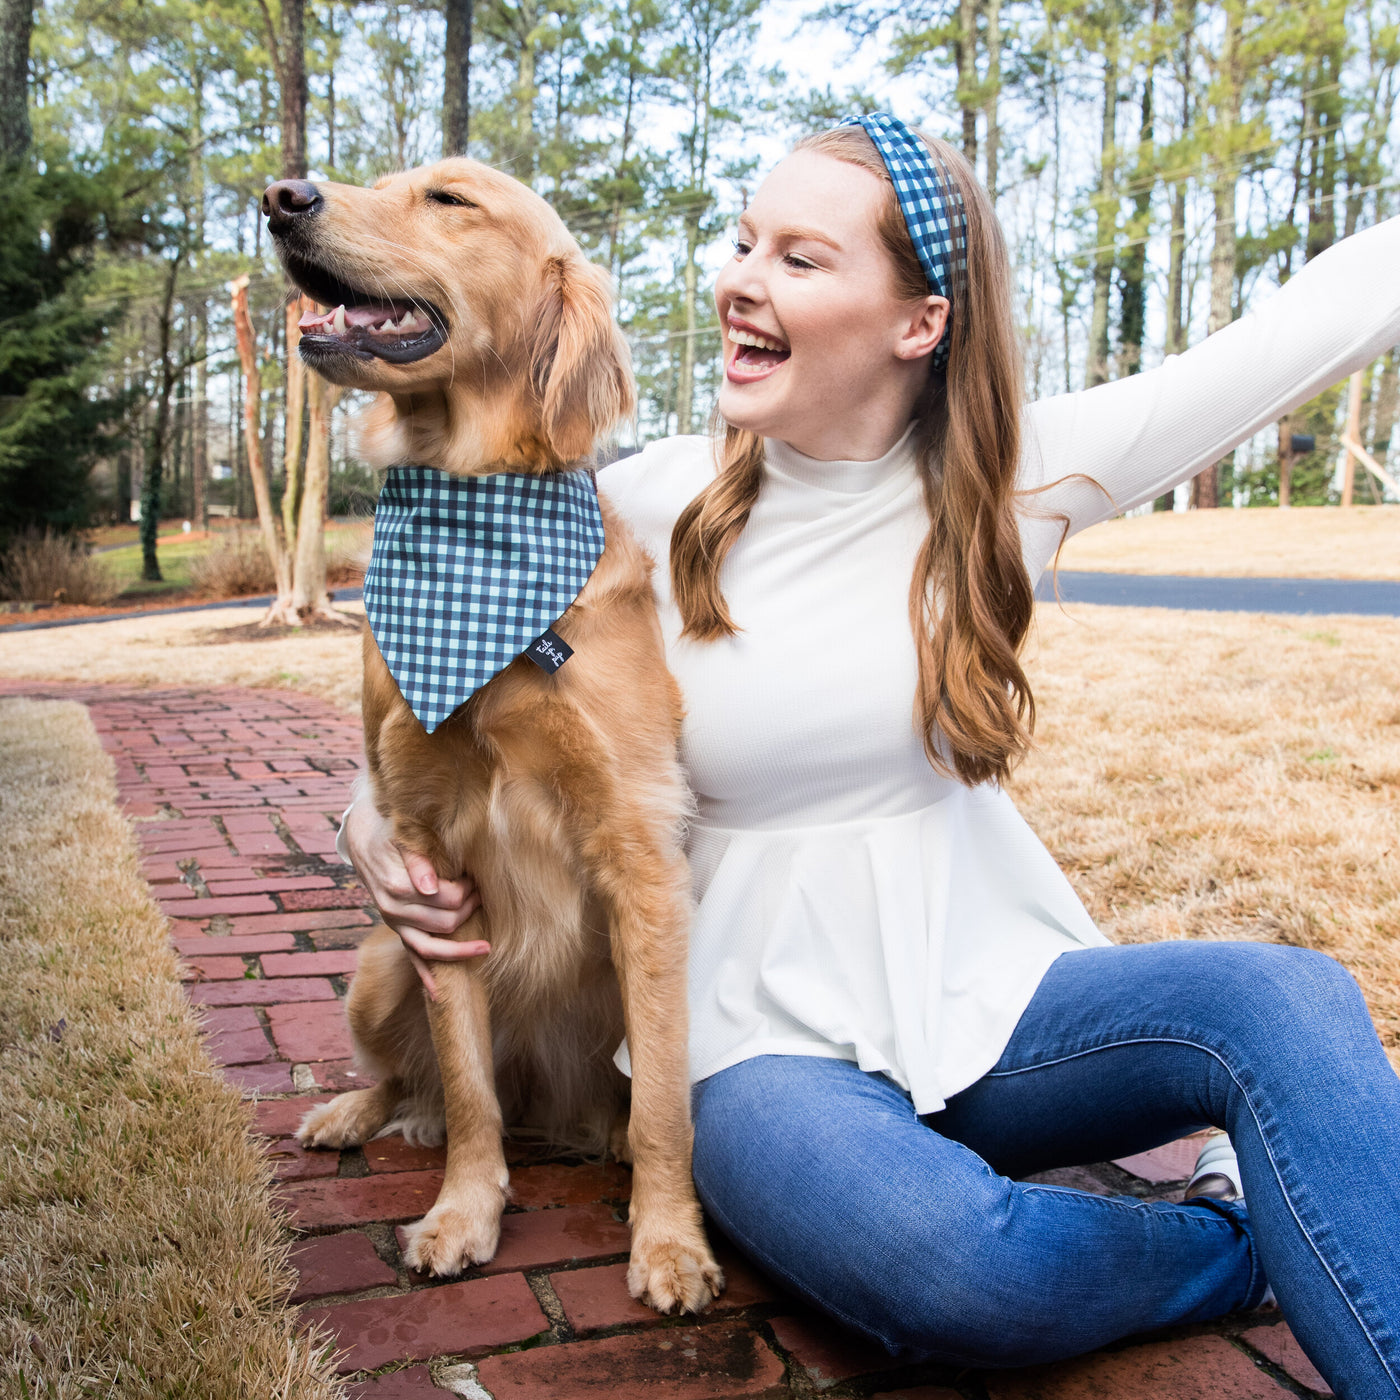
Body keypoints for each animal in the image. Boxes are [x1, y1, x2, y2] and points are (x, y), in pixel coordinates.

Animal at [261, 161, 722, 1310]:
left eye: (449, 200)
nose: (283, 197)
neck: (475, 516)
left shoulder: (640, 855)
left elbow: (664, 1101)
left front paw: (668, 1241)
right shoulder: (430, 863)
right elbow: (468, 1088)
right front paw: (464, 1211)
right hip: (381, 960)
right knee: (412, 1078)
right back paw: (355, 1111)